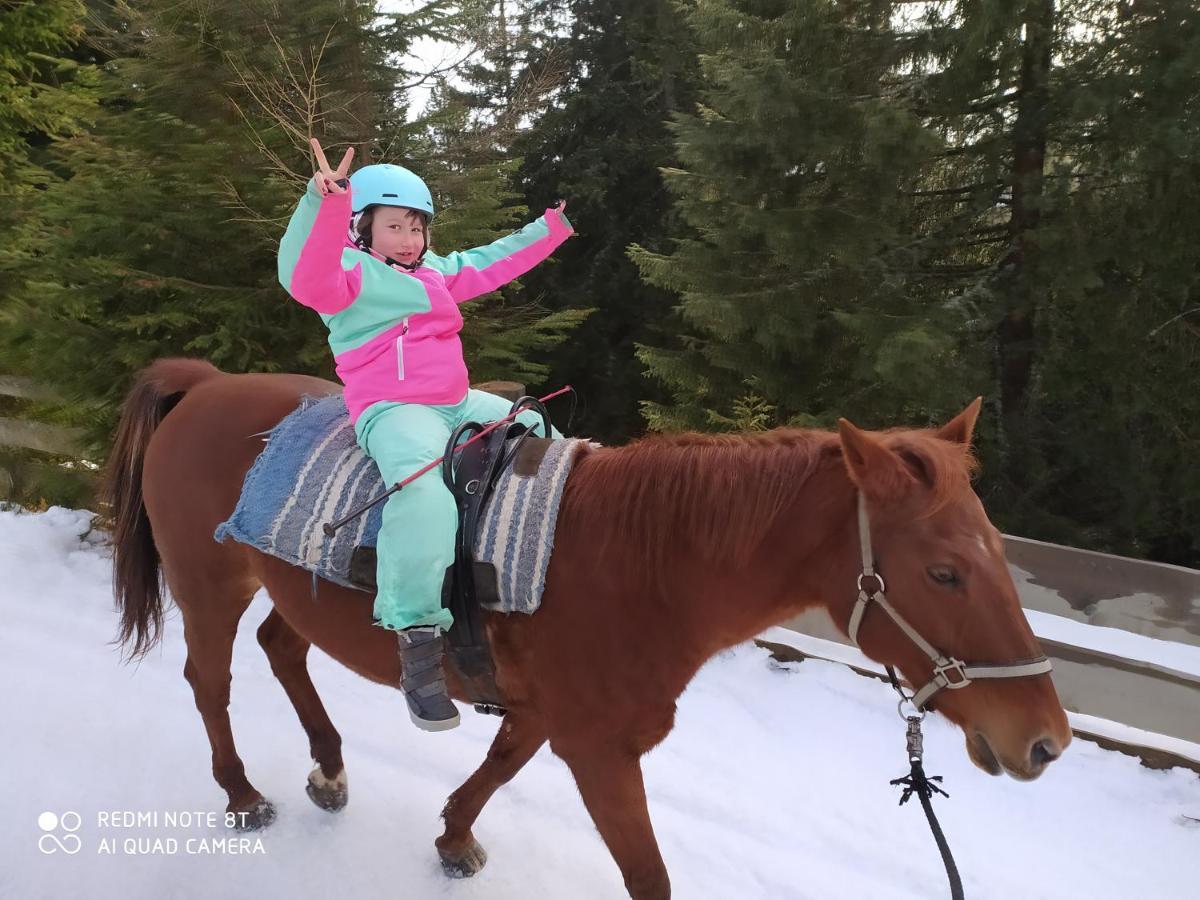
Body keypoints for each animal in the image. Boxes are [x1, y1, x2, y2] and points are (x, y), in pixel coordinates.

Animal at [108, 360, 1075, 900]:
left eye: (999, 554)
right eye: (944, 572)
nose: (1046, 742)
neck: (642, 561)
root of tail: (207, 386)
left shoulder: (549, 716)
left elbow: (497, 768)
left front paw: (453, 838)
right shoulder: (601, 750)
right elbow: (647, 875)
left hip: (286, 588)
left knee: (282, 649)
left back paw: (330, 766)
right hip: (209, 582)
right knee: (210, 682)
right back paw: (242, 793)